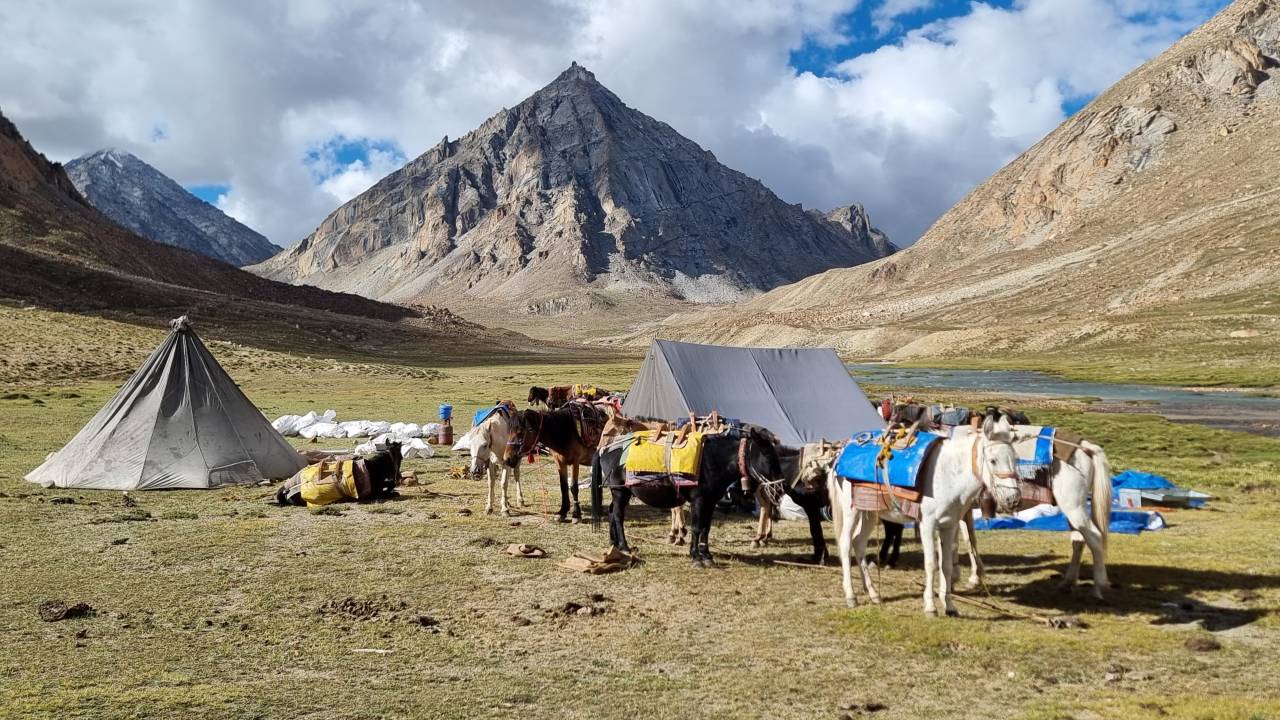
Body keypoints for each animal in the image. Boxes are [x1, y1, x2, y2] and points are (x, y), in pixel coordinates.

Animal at [591, 420, 788, 566]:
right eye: (767, 455)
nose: (781, 487)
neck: (713, 459)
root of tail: (605, 450)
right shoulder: (698, 500)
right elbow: (696, 527)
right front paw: (696, 556)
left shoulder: (710, 501)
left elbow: (706, 527)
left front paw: (707, 555)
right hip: (620, 491)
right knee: (617, 516)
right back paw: (624, 546)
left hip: (621, 493)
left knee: (611, 512)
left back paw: (614, 545)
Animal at [824, 415, 1024, 617]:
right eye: (993, 460)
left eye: (1015, 458)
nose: (1012, 499)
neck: (949, 475)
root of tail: (839, 456)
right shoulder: (927, 525)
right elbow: (931, 563)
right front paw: (930, 607)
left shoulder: (949, 526)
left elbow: (946, 565)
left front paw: (950, 606)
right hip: (851, 512)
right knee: (845, 544)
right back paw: (851, 596)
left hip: (869, 513)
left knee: (859, 543)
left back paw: (873, 593)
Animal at [952, 422, 1111, 597]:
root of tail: (1085, 446)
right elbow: (970, 540)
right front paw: (975, 577)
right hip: (1073, 509)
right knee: (1078, 540)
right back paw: (1068, 582)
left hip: (1074, 507)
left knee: (1095, 537)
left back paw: (1100, 586)